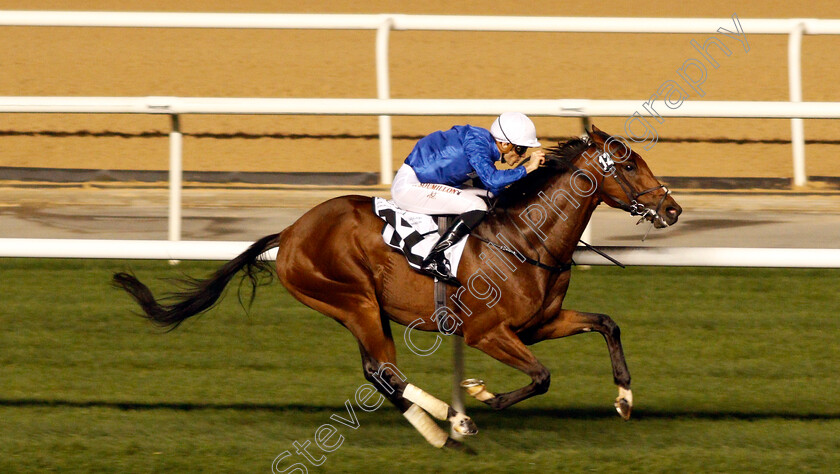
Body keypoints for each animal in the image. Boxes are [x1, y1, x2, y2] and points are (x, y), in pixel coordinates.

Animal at [115, 125, 684, 448]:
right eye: (629, 163)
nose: (673, 208)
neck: (527, 238)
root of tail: (291, 232)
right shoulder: (486, 332)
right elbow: (542, 376)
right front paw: (481, 395)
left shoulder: (538, 323)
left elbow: (607, 324)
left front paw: (624, 398)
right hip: (354, 299)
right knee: (382, 370)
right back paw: (448, 423)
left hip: (359, 307)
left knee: (379, 372)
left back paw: (441, 420)